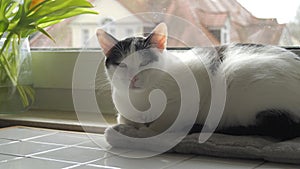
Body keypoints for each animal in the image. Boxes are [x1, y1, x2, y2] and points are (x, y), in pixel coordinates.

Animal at [96, 23, 300, 141]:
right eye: (121, 65)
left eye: (145, 62)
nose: (134, 77)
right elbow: (124, 117)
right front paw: (128, 126)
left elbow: (160, 127)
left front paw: (127, 131)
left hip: (237, 75)